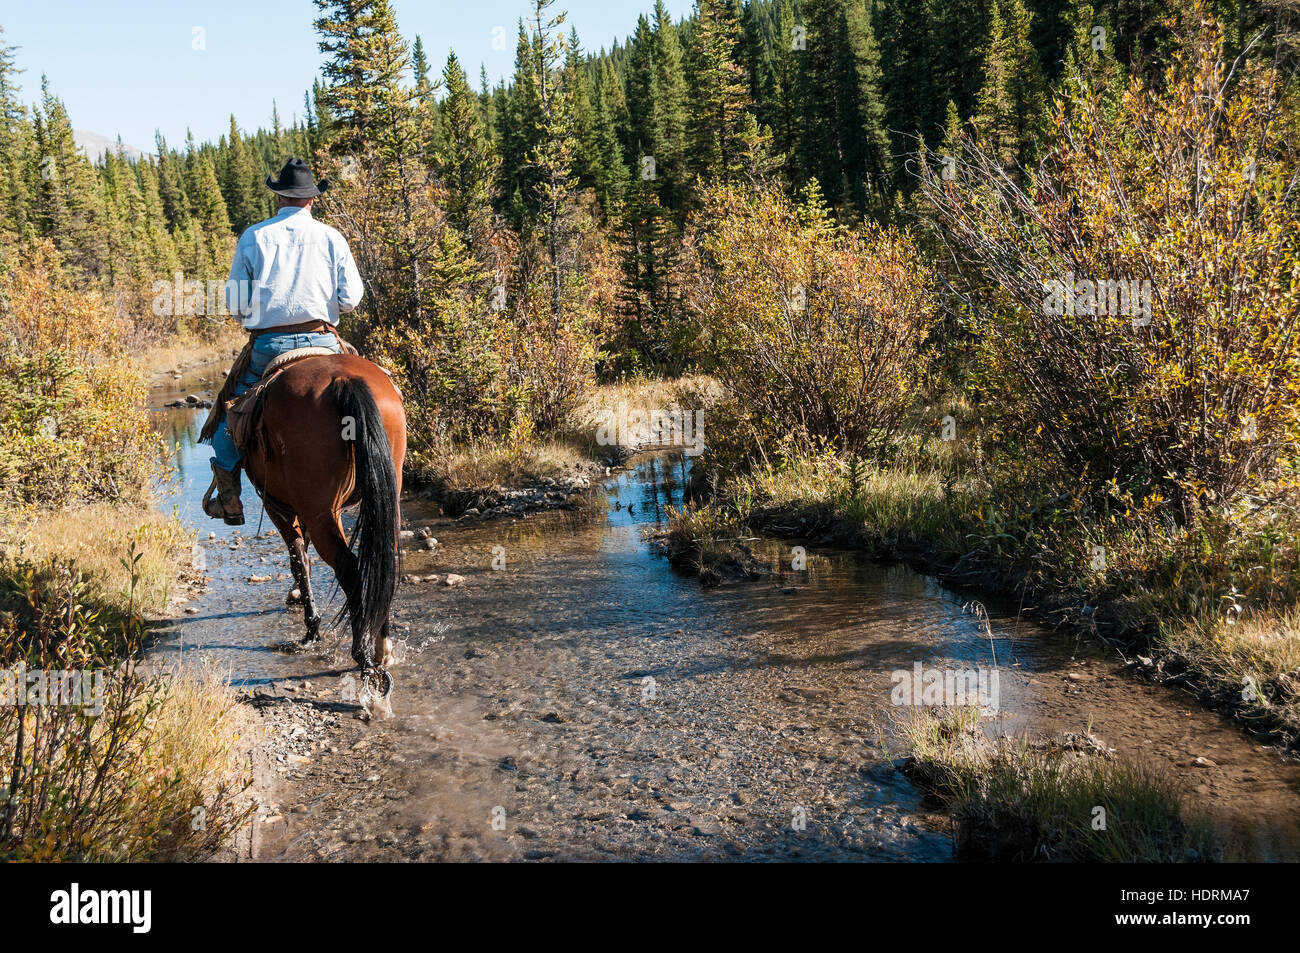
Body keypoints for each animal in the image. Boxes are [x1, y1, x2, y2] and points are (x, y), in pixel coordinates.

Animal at [240, 353, 406, 697]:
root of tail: (344, 380)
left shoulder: (278, 507)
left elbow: (299, 560)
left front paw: (311, 630)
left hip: (320, 511)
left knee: (349, 568)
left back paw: (363, 657)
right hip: (386, 490)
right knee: (384, 563)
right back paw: (382, 648)